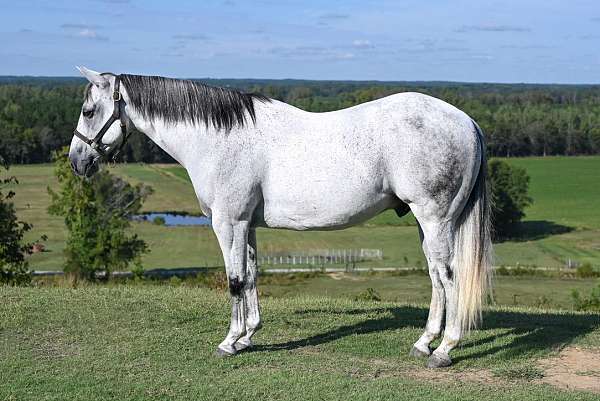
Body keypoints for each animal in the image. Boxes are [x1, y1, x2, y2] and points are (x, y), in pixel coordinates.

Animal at [70, 67, 492, 368]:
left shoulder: (228, 223)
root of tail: (467, 122)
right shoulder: (247, 224)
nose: (77, 161)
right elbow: (253, 275)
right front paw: (249, 335)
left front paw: (229, 342)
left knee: (450, 277)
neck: (218, 139)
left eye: (90, 111)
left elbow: (235, 280)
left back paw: (445, 349)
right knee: (436, 277)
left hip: (435, 219)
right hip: (426, 223)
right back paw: (424, 343)